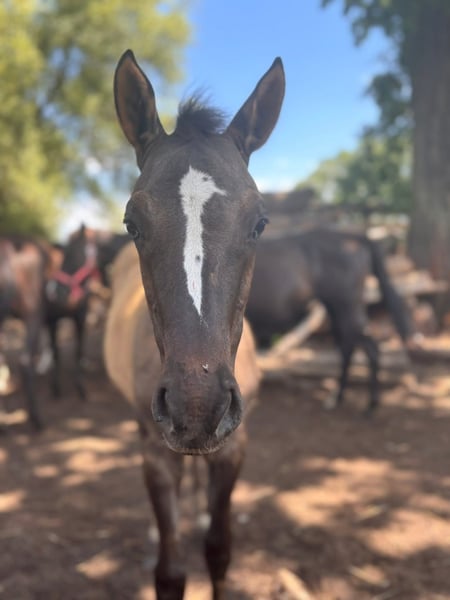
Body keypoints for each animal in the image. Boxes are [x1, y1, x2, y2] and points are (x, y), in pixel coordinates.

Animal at [105, 50, 285, 598]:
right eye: (132, 223)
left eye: (259, 223)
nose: (197, 406)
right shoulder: (157, 452)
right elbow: (170, 571)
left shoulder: (233, 449)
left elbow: (219, 549)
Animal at [246, 228, 415, 415]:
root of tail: (357, 237)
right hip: (337, 310)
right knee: (348, 348)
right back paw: (338, 397)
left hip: (347, 308)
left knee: (369, 348)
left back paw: (370, 404)